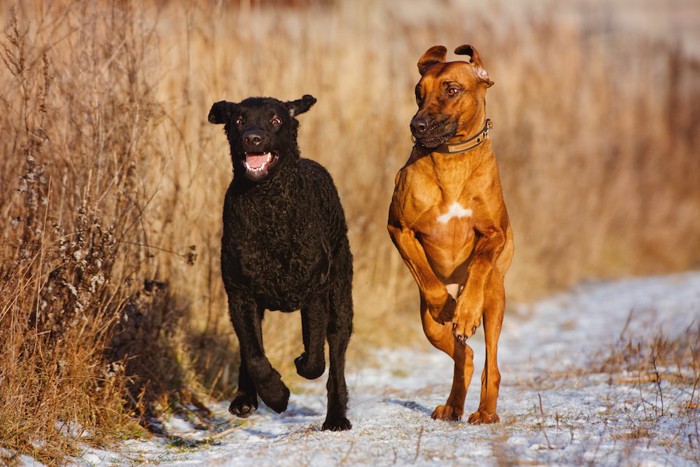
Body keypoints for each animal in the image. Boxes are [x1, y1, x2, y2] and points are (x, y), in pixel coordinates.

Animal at [206, 94, 350, 432]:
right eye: (239, 119)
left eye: (275, 119)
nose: (253, 139)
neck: (269, 205)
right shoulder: (240, 294)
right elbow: (254, 355)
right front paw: (276, 394)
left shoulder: (313, 291)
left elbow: (315, 358)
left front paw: (299, 364)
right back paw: (245, 398)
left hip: (340, 292)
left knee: (335, 355)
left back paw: (336, 418)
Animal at [388, 45, 516, 426]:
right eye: (419, 93)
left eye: (452, 90)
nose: (416, 124)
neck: (452, 160)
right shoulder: (399, 228)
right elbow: (425, 275)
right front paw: (446, 306)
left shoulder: (493, 233)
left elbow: (481, 261)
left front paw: (465, 310)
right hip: (428, 326)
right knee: (465, 356)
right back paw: (453, 404)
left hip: (497, 296)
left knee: (490, 362)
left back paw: (485, 410)